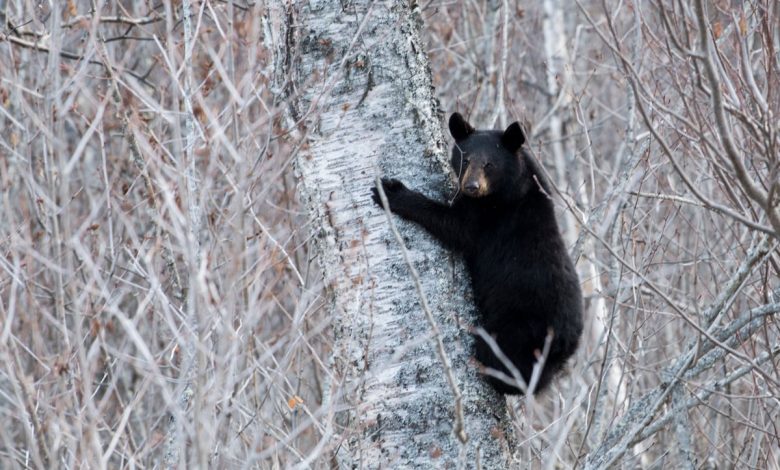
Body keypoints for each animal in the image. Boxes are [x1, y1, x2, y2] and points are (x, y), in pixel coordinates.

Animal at [371, 112, 583, 395]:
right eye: (466, 159)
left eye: (489, 164)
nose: (471, 186)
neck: (513, 187)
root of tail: (566, 344)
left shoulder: (490, 217)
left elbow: (455, 227)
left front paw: (392, 192)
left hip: (518, 328)